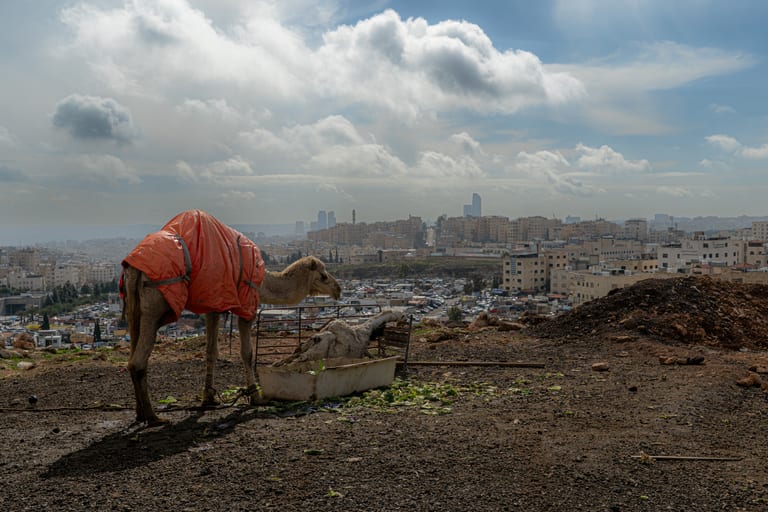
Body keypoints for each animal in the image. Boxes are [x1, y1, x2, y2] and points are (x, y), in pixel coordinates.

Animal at [121, 211, 341, 425]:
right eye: (323, 275)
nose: (338, 289)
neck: (262, 281)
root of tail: (134, 267)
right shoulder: (247, 307)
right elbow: (247, 353)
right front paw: (256, 397)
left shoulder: (213, 305)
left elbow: (211, 351)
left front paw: (209, 398)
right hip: (156, 305)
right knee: (137, 361)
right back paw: (153, 417)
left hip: (134, 308)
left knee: (132, 353)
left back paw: (140, 413)